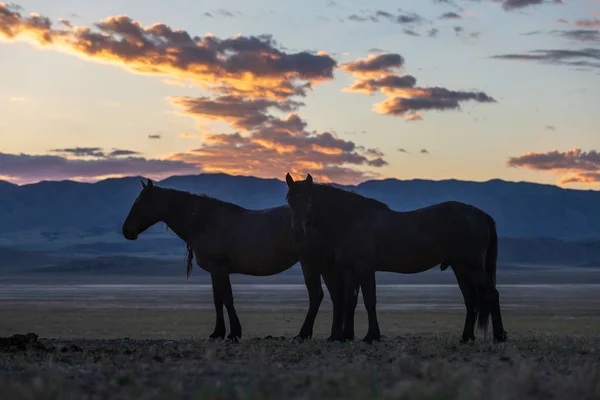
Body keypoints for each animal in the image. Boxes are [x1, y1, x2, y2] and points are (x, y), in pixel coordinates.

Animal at [120, 180, 344, 342]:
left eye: (140, 203)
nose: (126, 230)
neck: (205, 222)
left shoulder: (219, 267)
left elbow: (226, 299)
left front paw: (232, 332)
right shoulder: (216, 270)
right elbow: (218, 299)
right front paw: (218, 332)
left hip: (310, 262)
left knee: (316, 295)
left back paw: (304, 334)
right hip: (325, 264)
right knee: (336, 295)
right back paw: (335, 335)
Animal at [284, 173, 506, 346]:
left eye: (309, 200)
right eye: (289, 200)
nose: (296, 232)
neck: (352, 221)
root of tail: (480, 214)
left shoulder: (365, 268)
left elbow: (369, 301)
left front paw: (371, 336)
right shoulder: (349, 270)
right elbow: (350, 301)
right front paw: (346, 336)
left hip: (472, 266)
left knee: (491, 294)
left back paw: (499, 336)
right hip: (461, 268)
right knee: (471, 300)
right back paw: (466, 337)